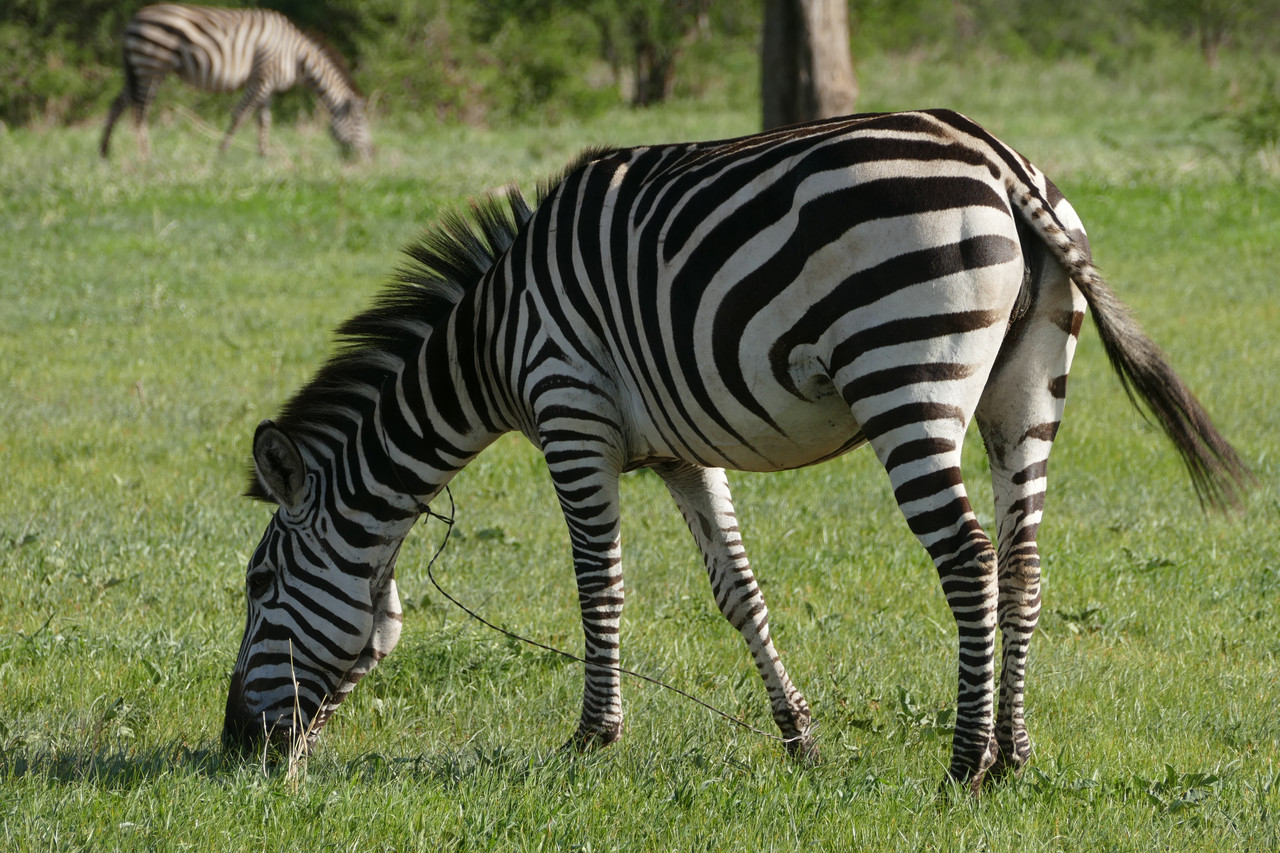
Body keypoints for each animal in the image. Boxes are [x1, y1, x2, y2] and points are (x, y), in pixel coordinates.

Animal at [100, 3, 372, 161]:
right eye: (359, 122)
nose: (371, 157)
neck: (297, 58)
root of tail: (134, 19)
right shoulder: (261, 78)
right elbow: (240, 115)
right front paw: (222, 154)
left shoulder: (268, 87)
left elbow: (264, 120)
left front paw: (263, 156)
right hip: (151, 66)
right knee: (139, 110)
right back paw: (145, 156)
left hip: (138, 67)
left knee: (118, 104)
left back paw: (104, 152)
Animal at [221, 109, 1250, 791]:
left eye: (258, 584)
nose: (237, 745)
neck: (494, 340)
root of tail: (996, 158)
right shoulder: (682, 450)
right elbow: (737, 590)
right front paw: (799, 737)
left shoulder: (571, 413)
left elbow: (598, 582)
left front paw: (594, 737)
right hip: (1026, 391)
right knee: (1024, 562)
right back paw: (1014, 756)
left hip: (905, 374)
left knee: (969, 560)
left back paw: (964, 760)